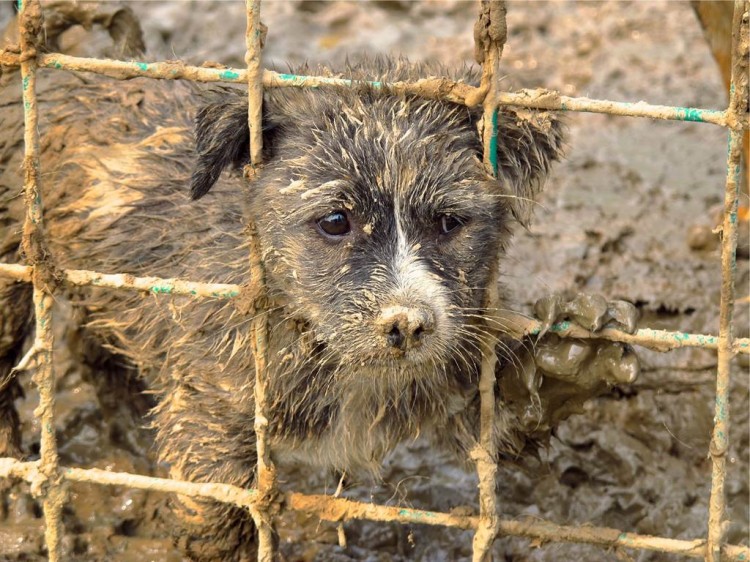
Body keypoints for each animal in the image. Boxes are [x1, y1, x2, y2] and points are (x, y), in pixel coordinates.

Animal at [0, 15, 640, 556]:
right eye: (335, 221)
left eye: (449, 223)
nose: (408, 325)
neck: (321, 345)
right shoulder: (211, 405)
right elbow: (223, 501)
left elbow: (498, 424)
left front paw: (567, 361)